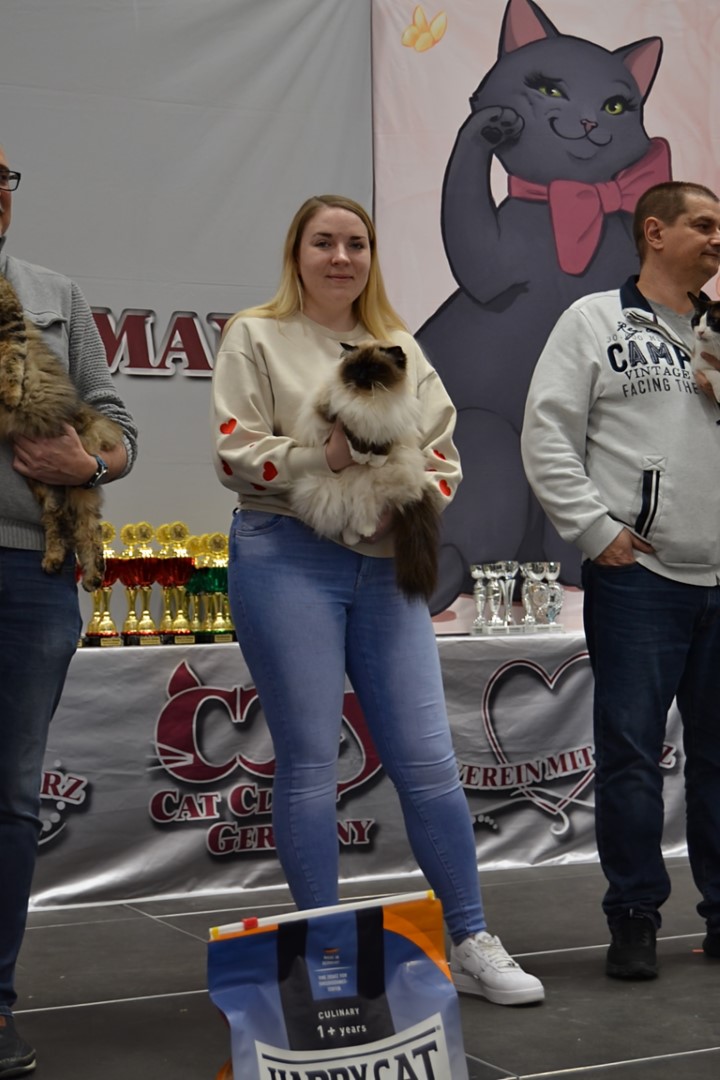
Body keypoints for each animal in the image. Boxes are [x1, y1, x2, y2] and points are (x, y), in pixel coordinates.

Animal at [0, 273, 123, 591]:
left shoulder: (10, 320)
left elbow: (11, 360)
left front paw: (11, 394)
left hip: (74, 479)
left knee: (87, 529)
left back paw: (92, 576)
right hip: (44, 484)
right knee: (60, 520)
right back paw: (55, 561)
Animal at [290, 341, 440, 601]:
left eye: (374, 368)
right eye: (355, 367)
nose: (361, 376)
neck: (369, 402)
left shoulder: (389, 427)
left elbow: (382, 445)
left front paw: (375, 459)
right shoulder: (337, 416)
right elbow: (355, 436)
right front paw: (361, 456)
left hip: (374, 485)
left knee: (364, 510)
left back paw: (362, 531)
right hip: (331, 487)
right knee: (349, 512)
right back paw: (354, 535)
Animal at [415, 0, 668, 610]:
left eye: (616, 105)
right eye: (551, 89)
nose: (591, 122)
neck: (572, 206)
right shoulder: (489, 265)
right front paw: (490, 124)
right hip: (488, 438)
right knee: (475, 554)